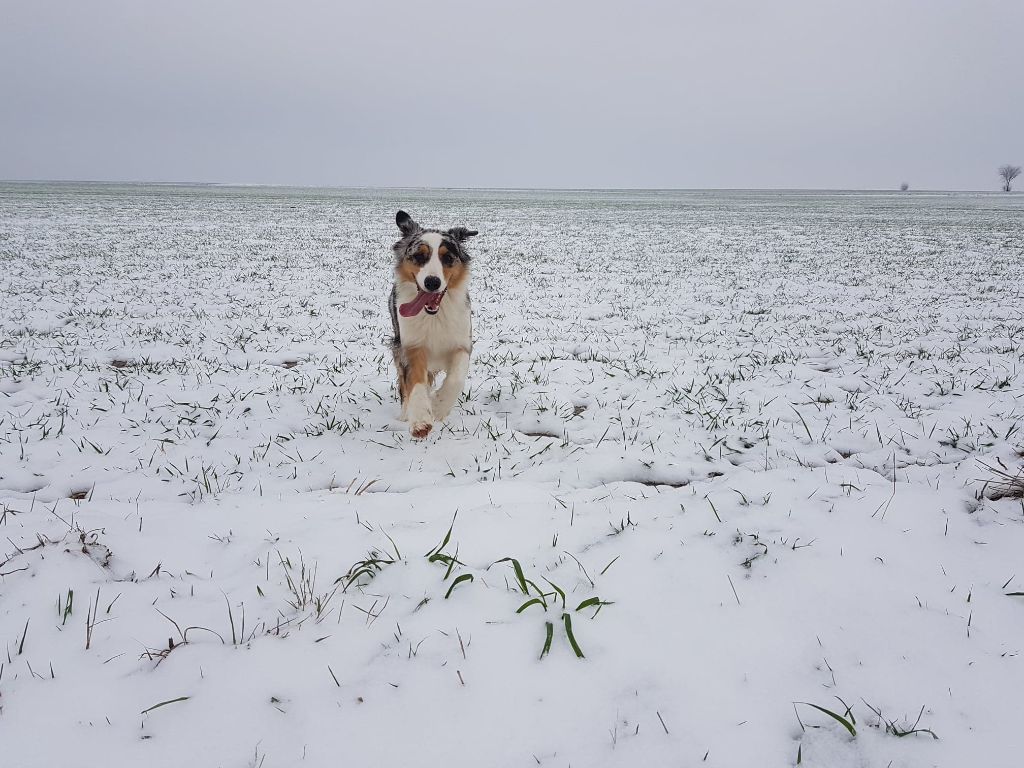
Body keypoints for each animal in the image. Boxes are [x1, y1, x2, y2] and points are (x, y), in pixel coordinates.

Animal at [387, 210, 479, 438]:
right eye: (419, 256)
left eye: (448, 258)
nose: (432, 282)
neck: (434, 317)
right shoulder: (411, 346)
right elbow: (415, 383)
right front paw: (420, 420)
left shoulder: (462, 342)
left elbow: (456, 379)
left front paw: (438, 406)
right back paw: (405, 414)